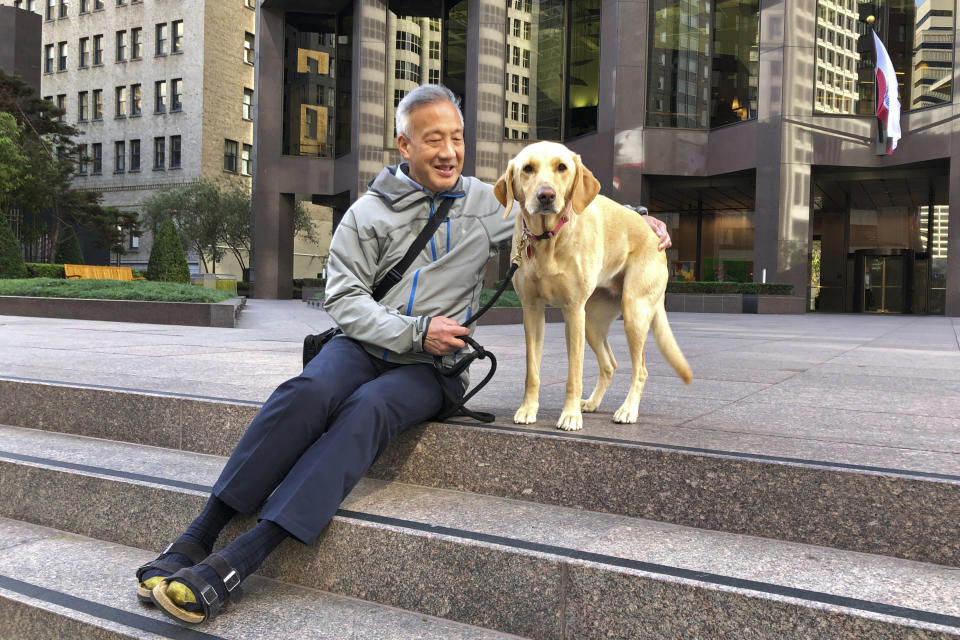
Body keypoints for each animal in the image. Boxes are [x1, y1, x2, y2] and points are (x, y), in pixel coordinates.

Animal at [496, 142, 688, 432]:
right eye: (528, 168)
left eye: (562, 167)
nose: (546, 195)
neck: (547, 239)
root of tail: (653, 233)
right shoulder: (532, 310)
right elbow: (532, 370)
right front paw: (528, 409)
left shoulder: (574, 310)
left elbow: (574, 374)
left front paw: (570, 415)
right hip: (593, 324)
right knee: (610, 364)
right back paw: (592, 403)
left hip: (633, 312)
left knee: (640, 370)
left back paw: (627, 410)